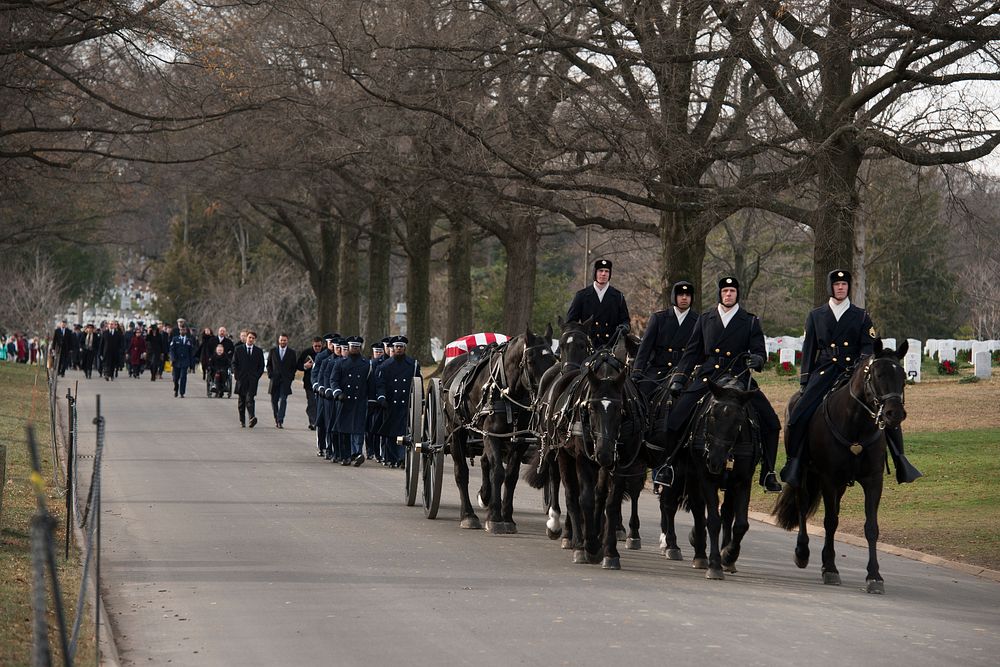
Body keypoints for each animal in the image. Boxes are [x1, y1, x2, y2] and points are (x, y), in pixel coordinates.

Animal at [444, 326, 556, 536]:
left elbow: (510, 476)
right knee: (461, 471)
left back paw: (485, 496)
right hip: (456, 431)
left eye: (554, 360)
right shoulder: (492, 435)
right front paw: (495, 518)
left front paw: (507, 517)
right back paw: (468, 515)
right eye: (530, 361)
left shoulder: (518, 440)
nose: (546, 394)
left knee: (484, 461)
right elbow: (498, 472)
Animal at [768, 342, 912, 592]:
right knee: (802, 505)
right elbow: (830, 521)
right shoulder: (829, 479)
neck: (856, 425)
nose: (894, 413)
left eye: (902, 376)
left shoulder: (873, 480)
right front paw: (830, 568)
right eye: (878, 375)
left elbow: (871, 527)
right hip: (805, 473)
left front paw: (874, 576)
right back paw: (802, 552)